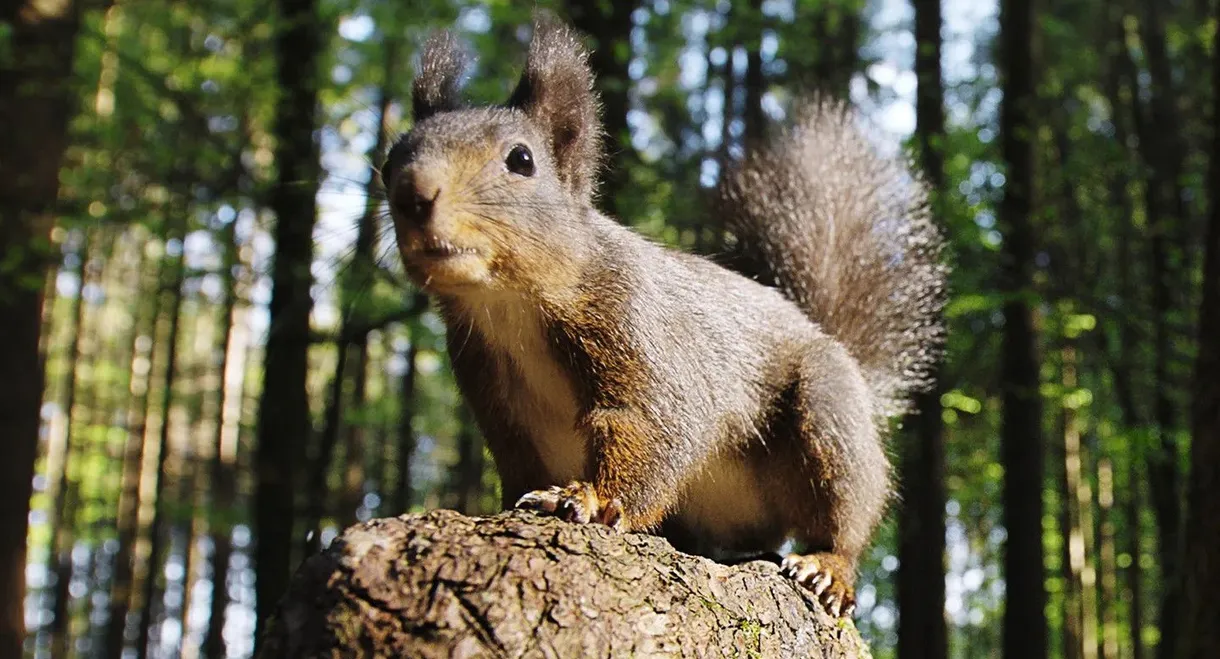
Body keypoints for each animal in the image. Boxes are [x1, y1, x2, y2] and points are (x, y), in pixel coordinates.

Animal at [382, 16, 947, 618]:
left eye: (521, 160)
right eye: (391, 160)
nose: (413, 193)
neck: (510, 307)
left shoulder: (640, 332)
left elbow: (653, 427)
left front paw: (590, 498)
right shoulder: (493, 396)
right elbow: (520, 462)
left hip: (829, 410)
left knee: (844, 511)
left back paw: (827, 568)